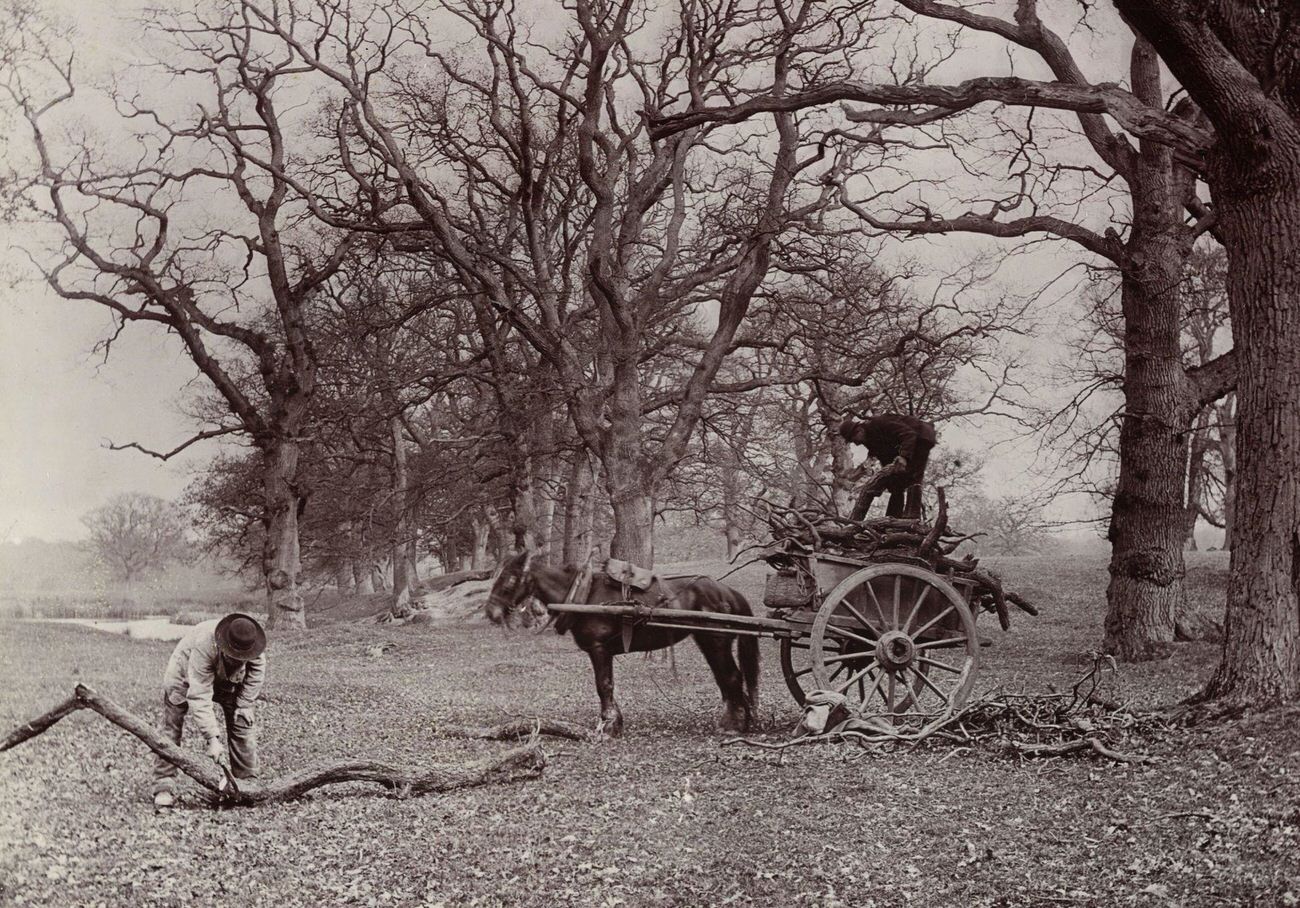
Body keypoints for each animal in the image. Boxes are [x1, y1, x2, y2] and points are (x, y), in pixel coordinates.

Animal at [488, 551, 759, 733]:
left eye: (510, 579)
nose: (491, 612)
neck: (584, 595)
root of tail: (726, 590)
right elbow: (607, 685)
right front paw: (615, 721)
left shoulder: (598, 649)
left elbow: (604, 685)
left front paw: (608, 724)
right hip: (707, 641)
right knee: (726, 679)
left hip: (716, 641)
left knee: (731, 677)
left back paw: (734, 725)